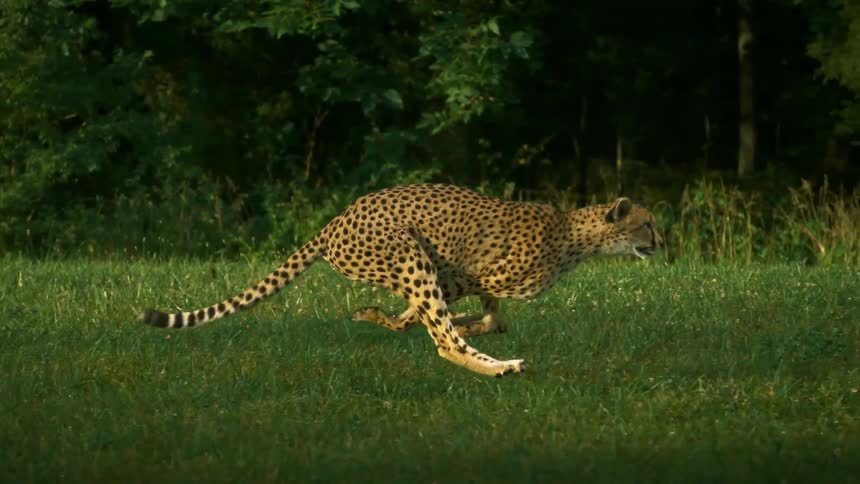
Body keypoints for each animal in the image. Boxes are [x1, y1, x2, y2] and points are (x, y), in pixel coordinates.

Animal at [140, 183, 662, 377]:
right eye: (647, 223)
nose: (662, 241)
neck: (576, 236)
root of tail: (337, 218)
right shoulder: (458, 275)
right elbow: (438, 319)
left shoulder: (475, 284)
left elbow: (490, 318)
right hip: (409, 255)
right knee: (444, 344)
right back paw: (500, 367)